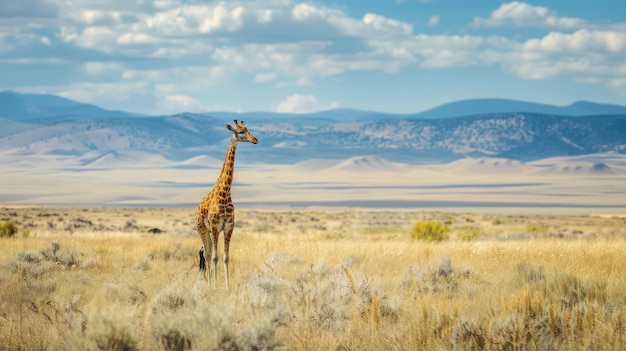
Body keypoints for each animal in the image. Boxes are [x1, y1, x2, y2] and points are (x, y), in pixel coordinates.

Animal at [194, 119, 255, 290]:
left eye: (248, 129)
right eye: (240, 132)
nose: (255, 140)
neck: (225, 193)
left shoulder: (228, 226)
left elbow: (226, 257)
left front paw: (227, 287)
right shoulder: (215, 226)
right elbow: (215, 257)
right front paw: (215, 286)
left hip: (209, 231)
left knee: (206, 252)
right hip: (202, 229)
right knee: (207, 254)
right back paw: (209, 285)